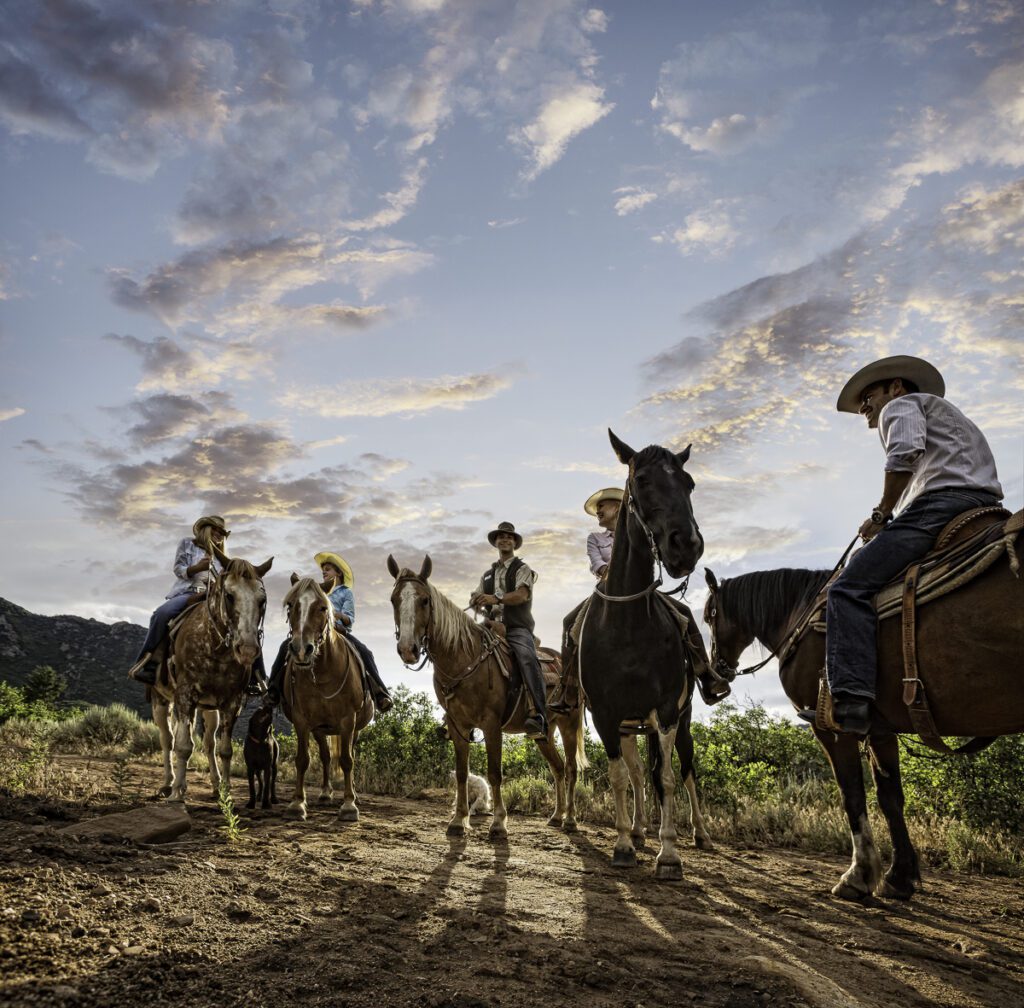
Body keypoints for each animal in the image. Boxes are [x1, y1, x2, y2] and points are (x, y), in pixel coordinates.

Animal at [150, 553, 272, 803]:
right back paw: (168, 783)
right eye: (229, 595)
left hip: (207, 709)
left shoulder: (231, 702)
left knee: (208, 743)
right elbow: (183, 746)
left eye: (262, 600)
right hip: (161, 700)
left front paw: (226, 793)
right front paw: (177, 793)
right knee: (167, 739)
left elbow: (224, 750)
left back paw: (214, 785)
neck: (214, 647)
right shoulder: (184, 696)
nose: (247, 650)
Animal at [282, 573, 374, 819]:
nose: (301, 650)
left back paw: (354, 795)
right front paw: (297, 803)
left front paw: (349, 805)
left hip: (354, 728)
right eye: (291, 605)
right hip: (320, 729)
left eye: (323, 607)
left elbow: (347, 760)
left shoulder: (348, 720)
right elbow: (303, 759)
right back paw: (324, 793)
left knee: (349, 753)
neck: (322, 673)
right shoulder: (302, 720)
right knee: (325, 756)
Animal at [387, 553, 589, 840]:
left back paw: (570, 819)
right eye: (394, 599)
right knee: (558, 767)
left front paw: (499, 823)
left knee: (571, 768)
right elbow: (462, 773)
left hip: (568, 722)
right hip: (544, 732)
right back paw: (556, 816)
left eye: (424, 600)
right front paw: (458, 821)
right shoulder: (458, 726)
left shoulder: (492, 726)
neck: (464, 659)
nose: (408, 649)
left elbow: (495, 773)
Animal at [577, 428, 712, 876]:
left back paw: (700, 834)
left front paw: (668, 854)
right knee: (638, 775)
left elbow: (667, 778)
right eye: (641, 480)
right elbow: (622, 778)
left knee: (685, 771)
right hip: (630, 727)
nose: (686, 546)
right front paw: (623, 844)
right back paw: (637, 830)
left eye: (689, 484)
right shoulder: (607, 716)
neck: (628, 625)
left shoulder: (667, 711)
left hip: (681, 722)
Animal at [704, 520, 1024, 897]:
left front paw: (859, 875)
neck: (801, 612)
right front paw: (899, 876)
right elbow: (890, 797)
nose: (716, 674)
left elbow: (852, 794)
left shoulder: (830, 728)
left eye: (709, 616)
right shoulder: (881, 730)